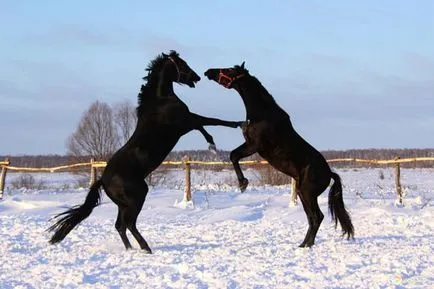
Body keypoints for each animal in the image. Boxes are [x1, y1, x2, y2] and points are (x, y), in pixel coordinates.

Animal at [49, 50, 244, 251]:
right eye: (182, 64)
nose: (197, 77)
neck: (160, 101)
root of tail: (102, 180)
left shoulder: (186, 122)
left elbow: (205, 123)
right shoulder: (185, 122)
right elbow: (209, 122)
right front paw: (221, 138)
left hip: (123, 204)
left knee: (120, 226)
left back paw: (132, 249)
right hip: (137, 197)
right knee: (129, 224)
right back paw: (146, 248)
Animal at [205, 62, 354, 246]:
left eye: (229, 70)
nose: (208, 72)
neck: (263, 114)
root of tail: (329, 173)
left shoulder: (254, 146)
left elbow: (233, 155)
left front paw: (243, 184)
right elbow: (234, 156)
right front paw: (242, 183)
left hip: (307, 193)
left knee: (316, 217)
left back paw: (305, 246)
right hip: (303, 193)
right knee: (313, 218)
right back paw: (304, 245)